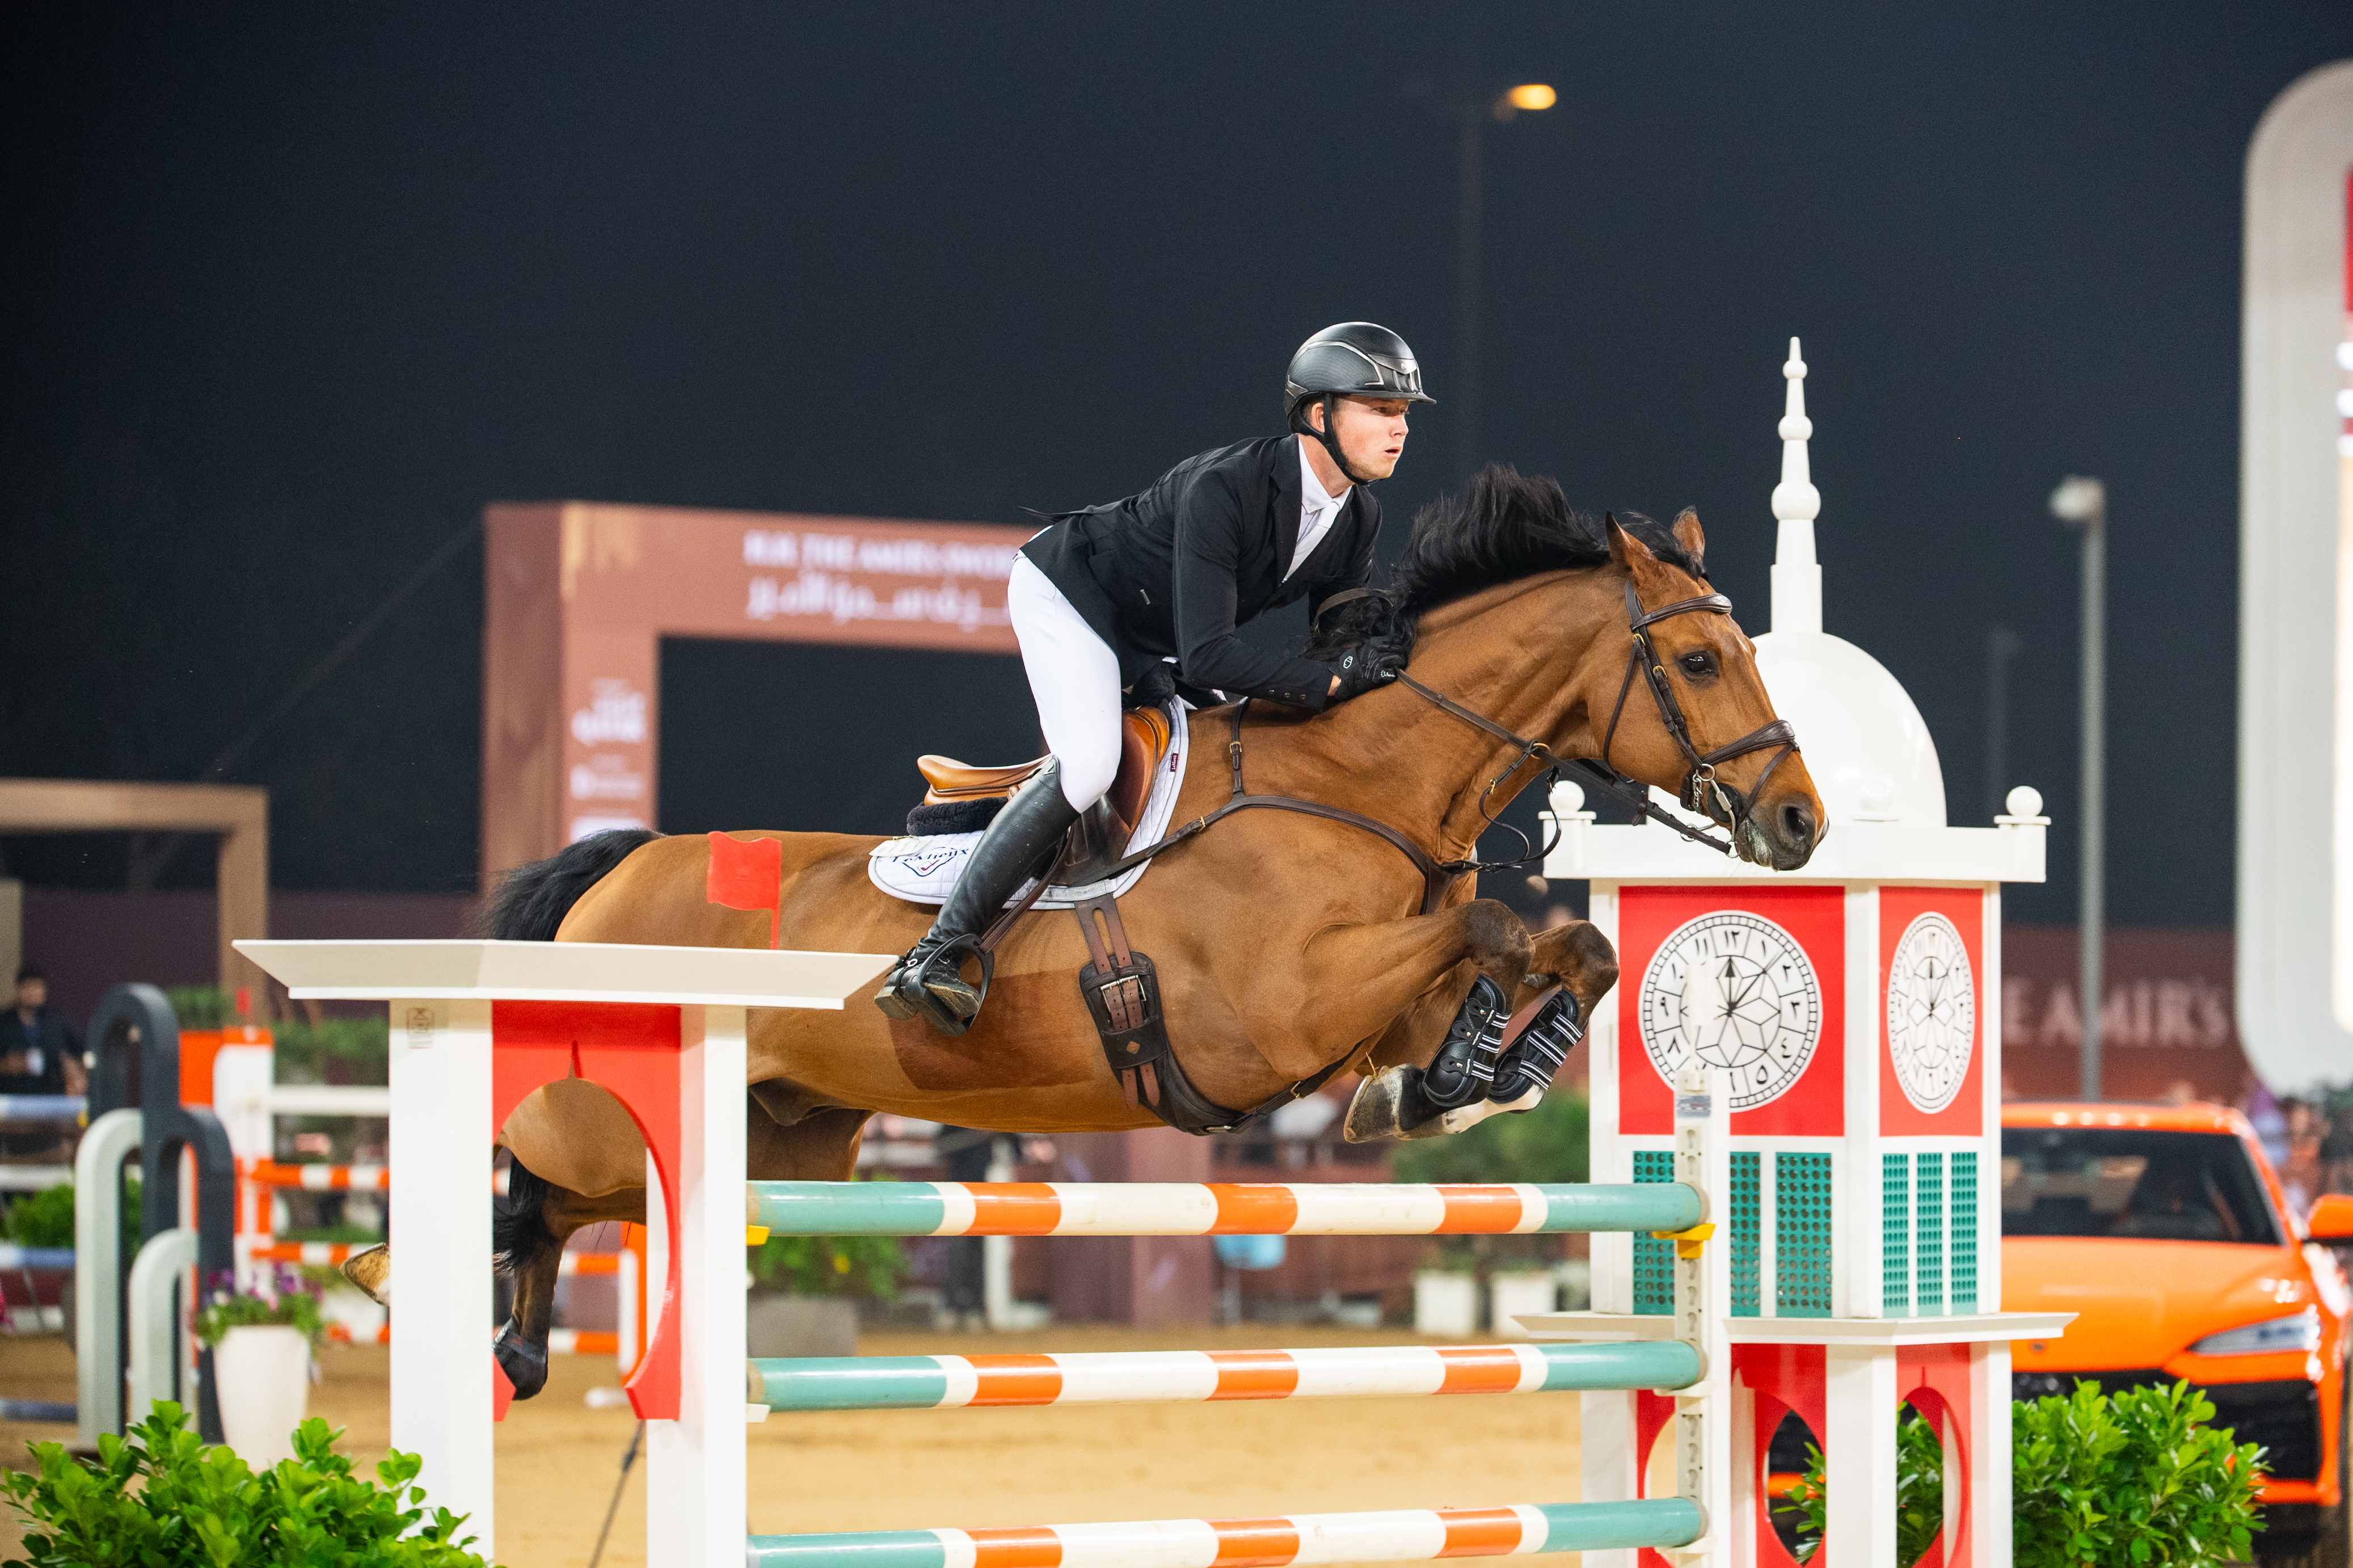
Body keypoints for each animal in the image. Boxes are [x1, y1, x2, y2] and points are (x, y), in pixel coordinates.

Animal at [356, 466, 1824, 1399]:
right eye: (1700, 661)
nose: (1800, 821)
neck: (1362, 784)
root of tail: (623, 868)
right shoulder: (1280, 1011)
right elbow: (1488, 918)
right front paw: (1460, 1074)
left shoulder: (1357, 1007)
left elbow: (1554, 951)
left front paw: (1461, 1078)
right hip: (615, 1118)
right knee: (521, 1167)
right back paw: (409, 1280)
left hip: (777, 1132)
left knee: (561, 1201)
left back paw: (511, 1341)